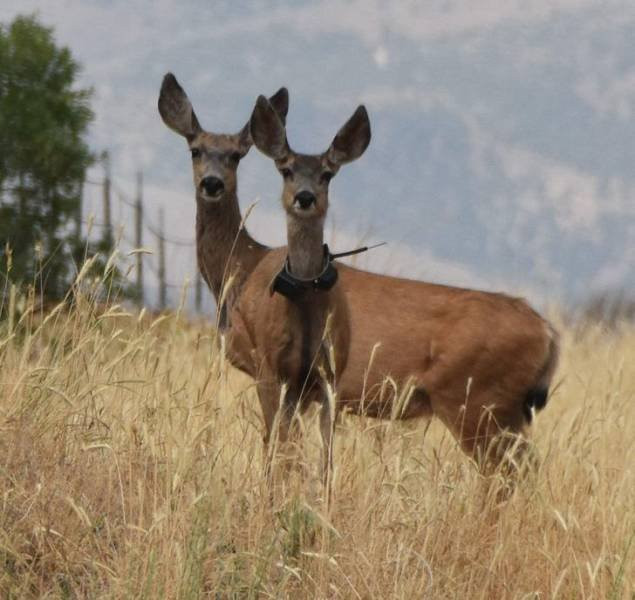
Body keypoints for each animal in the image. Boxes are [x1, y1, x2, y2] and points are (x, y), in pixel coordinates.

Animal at [157, 74, 560, 478]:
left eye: (236, 156)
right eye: (195, 150)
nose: (212, 183)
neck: (243, 268)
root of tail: (547, 333)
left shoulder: (267, 370)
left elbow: (277, 449)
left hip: (476, 401)